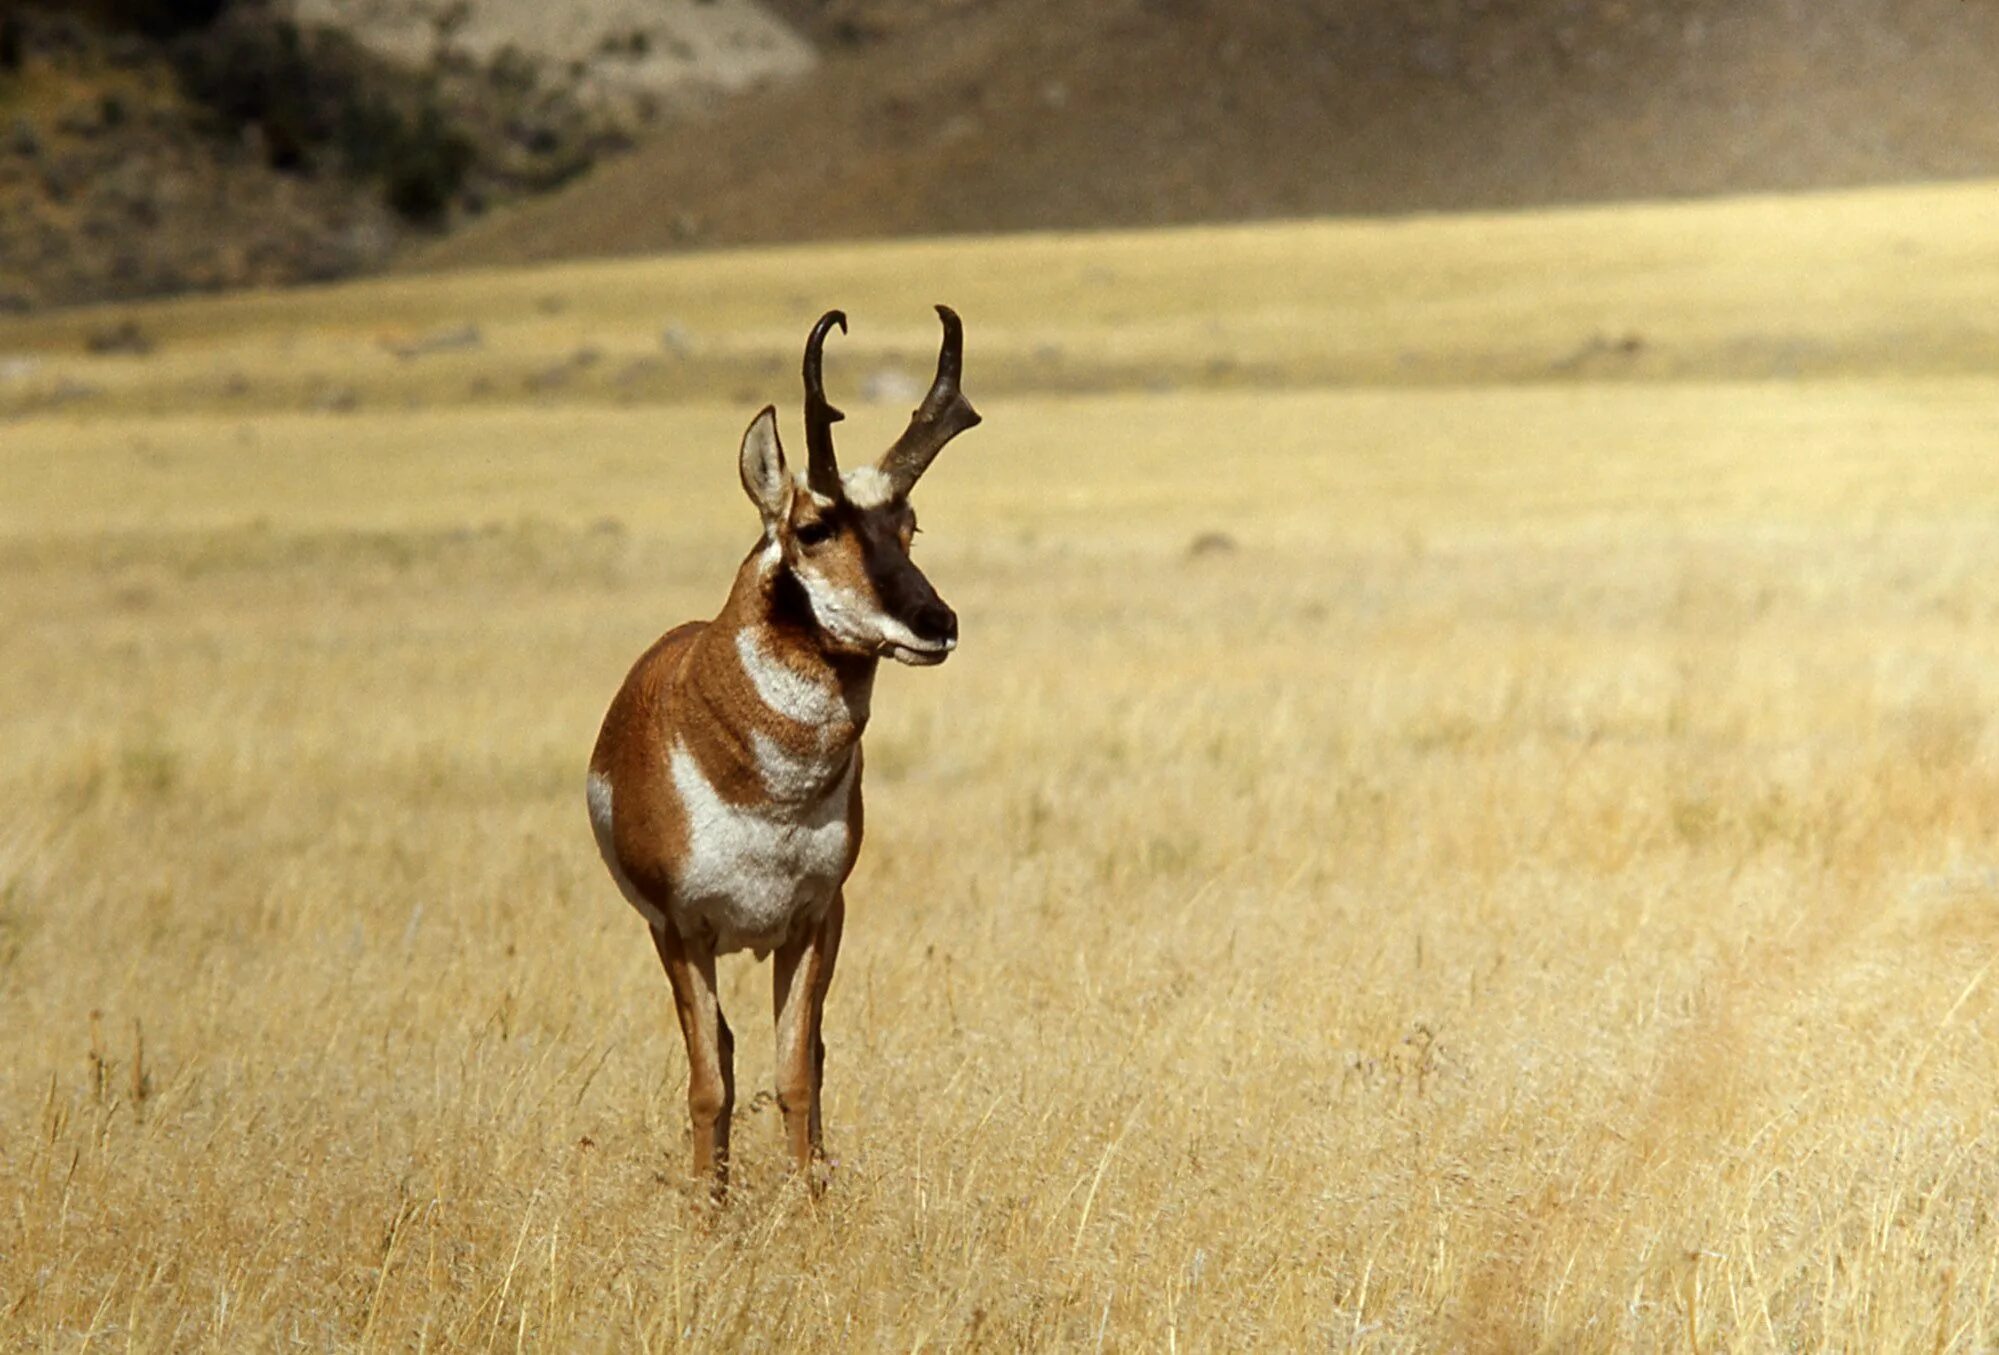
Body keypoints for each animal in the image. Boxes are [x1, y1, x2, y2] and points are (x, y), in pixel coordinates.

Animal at [583, 307, 979, 1199]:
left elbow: (798, 1069)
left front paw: (807, 1200)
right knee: (723, 1055)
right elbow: (709, 1080)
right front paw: (709, 1209)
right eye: (814, 527)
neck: (765, 793)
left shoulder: (814, 919)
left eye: (909, 526)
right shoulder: (681, 930)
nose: (937, 622)